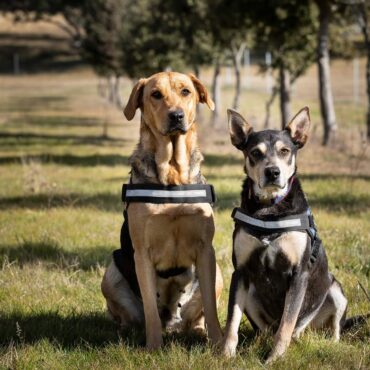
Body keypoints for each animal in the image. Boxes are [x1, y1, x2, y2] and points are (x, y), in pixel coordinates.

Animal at [101, 71, 223, 350]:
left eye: (185, 91)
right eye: (156, 94)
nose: (176, 115)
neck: (172, 175)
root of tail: (172, 322)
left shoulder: (205, 249)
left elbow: (211, 308)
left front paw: (219, 344)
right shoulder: (142, 254)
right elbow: (149, 311)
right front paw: (153, 347)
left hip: (219, 272)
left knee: (197, 316)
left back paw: (198, 331)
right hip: (110, 274)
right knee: (130, 316)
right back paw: (126, 332)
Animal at [221, 107, 348, 362]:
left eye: (284, 151)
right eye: (255, 153)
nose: (272, 172)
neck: (270, 209)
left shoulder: (298, 274)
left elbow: (287, 324)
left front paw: (275, 358)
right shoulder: (241, 272)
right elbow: (232, 321)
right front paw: (225, 355)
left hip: (335, 290)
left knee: (327, 328)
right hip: (252, 295)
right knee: (265, 331)